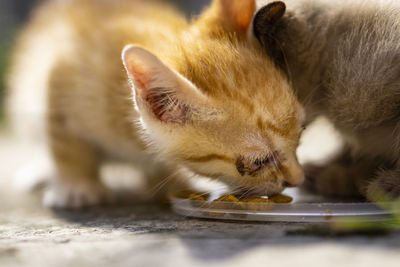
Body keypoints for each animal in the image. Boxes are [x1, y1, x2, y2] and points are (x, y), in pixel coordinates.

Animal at [7, 0, 304, 209]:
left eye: (299, 134)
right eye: (258, 161)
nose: (297, 179)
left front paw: (170, 182)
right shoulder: (59, 74)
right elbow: (65, 141)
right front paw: (75, 185)